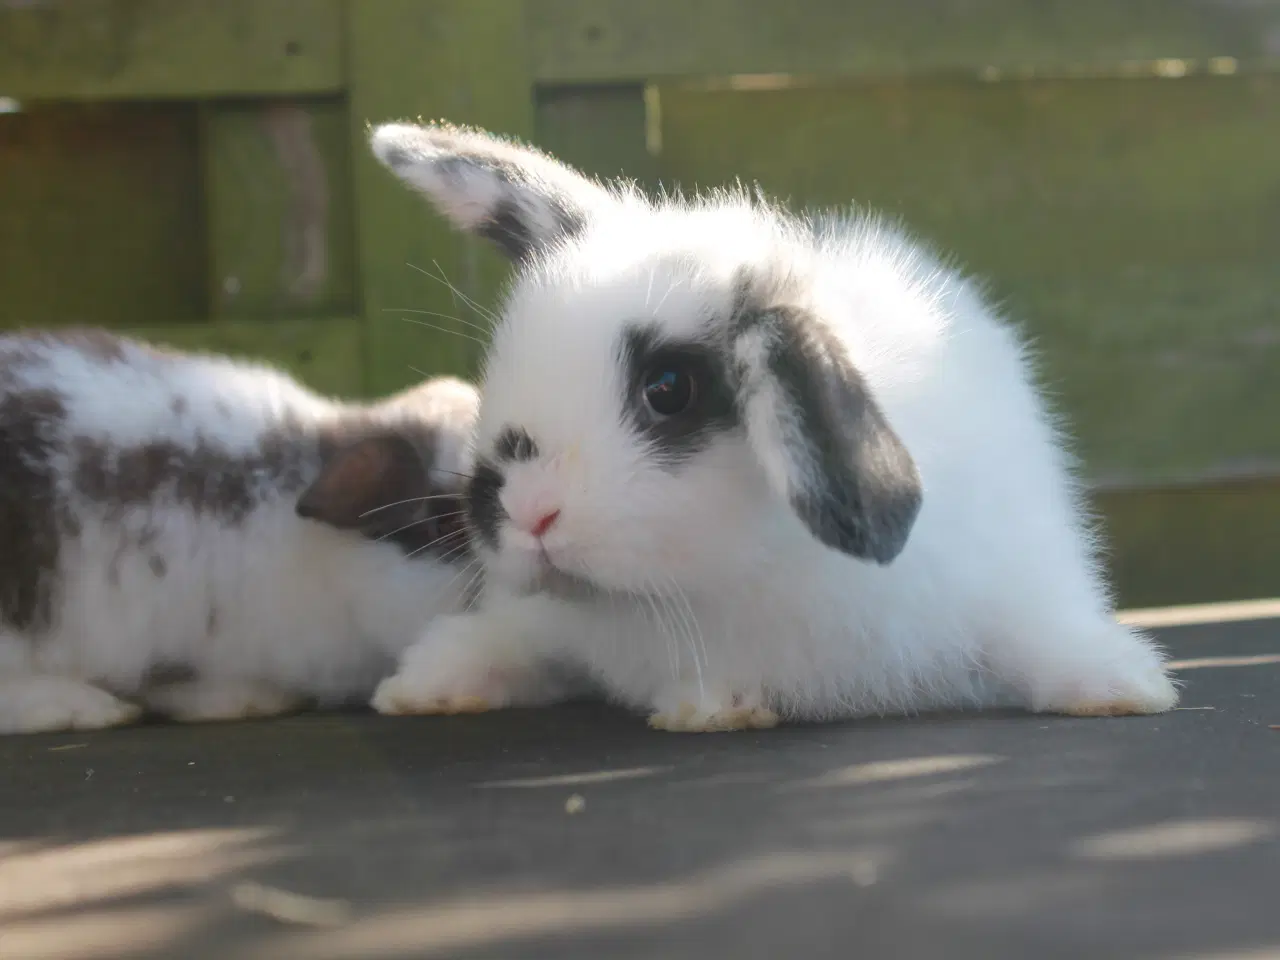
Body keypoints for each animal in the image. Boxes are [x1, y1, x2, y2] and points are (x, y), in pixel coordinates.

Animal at [366, 124, 1172, 732]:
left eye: (669, 389)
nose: (525, 512)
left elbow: (1042, 640)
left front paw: (1124, 686)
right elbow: (513, 641)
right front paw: (423, 684)